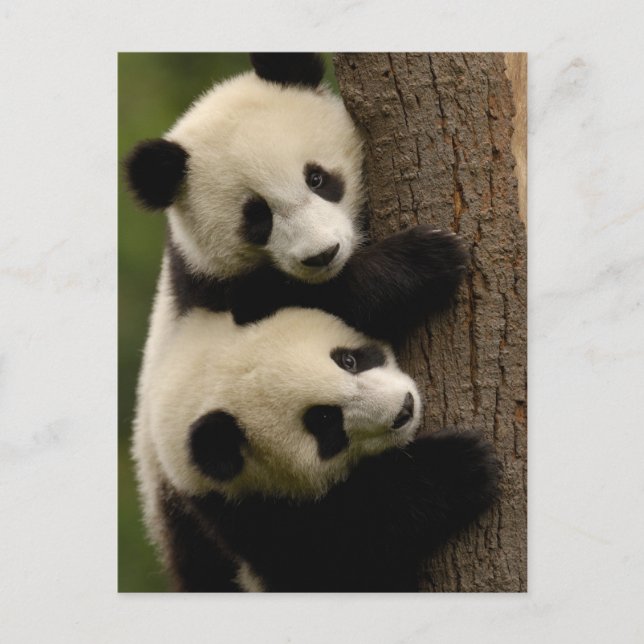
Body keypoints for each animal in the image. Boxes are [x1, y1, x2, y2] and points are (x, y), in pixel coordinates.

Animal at [135, 307, 499, 592]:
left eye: (348, 360)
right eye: (324, 421)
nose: (404, 410)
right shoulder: (242, 515)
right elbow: (335, 551)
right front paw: (459, 466)